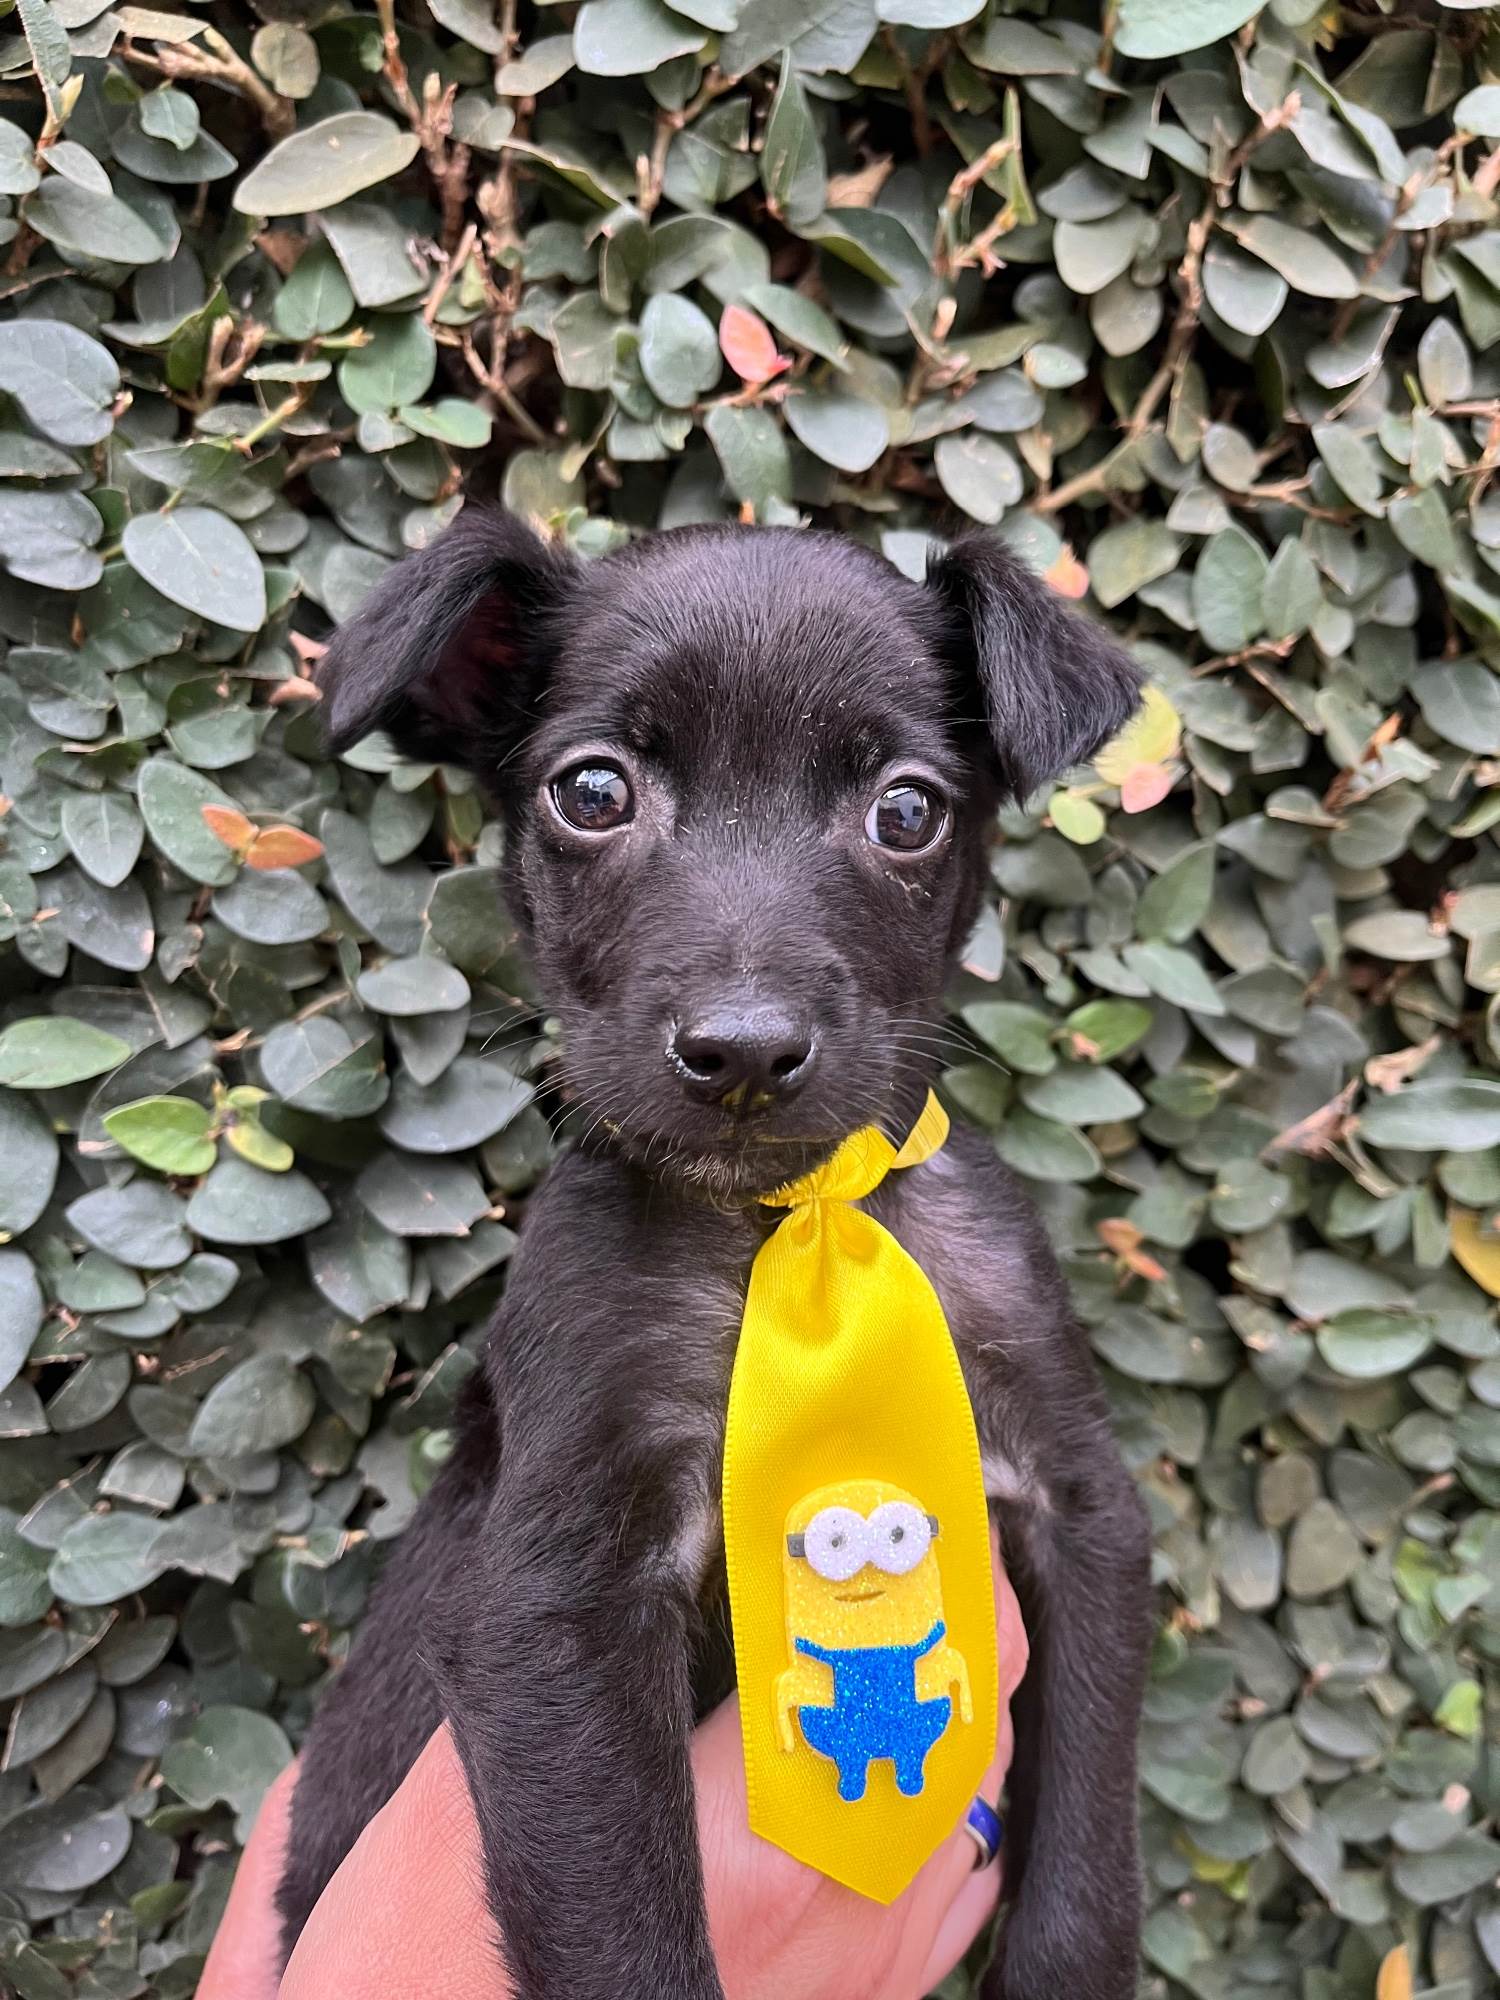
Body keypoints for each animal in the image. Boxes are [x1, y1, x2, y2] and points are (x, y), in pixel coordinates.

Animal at [276, 511, 1155, 2000]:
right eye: (593, 791)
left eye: (908, 810)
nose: (743, 1051)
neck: (776, 1220)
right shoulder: (555, 1599)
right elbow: (623, 1929)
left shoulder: (1081, 1499)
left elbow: (1088, 1860)